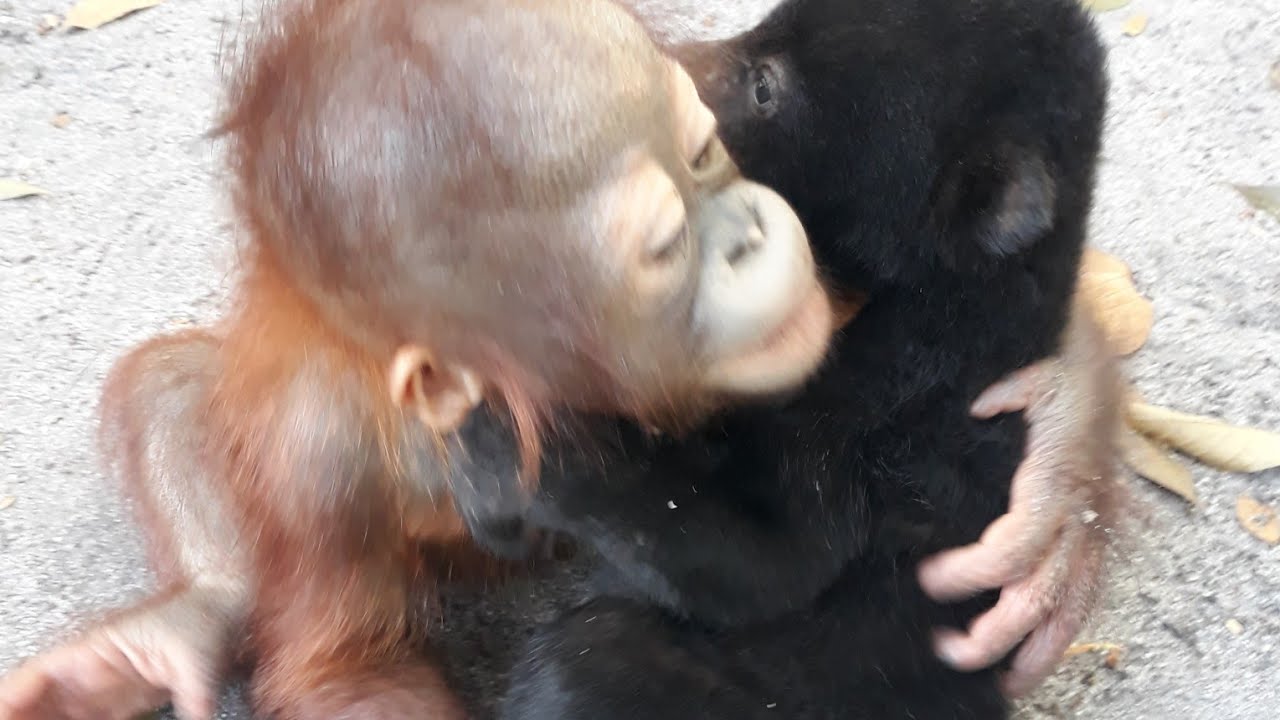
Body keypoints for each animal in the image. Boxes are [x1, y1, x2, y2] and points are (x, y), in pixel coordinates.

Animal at [0, 0, 841, 718]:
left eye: (703, 153)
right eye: (669, 247)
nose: (750, 234)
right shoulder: (321, 456)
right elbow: (346, 674)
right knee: (172, 388)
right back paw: (184, 617)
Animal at [447, 0, 1119, 717]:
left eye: (766, 86)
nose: (663, 73)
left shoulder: (880, 425)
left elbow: (763, 557)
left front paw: (501, 444)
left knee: (590, 656)